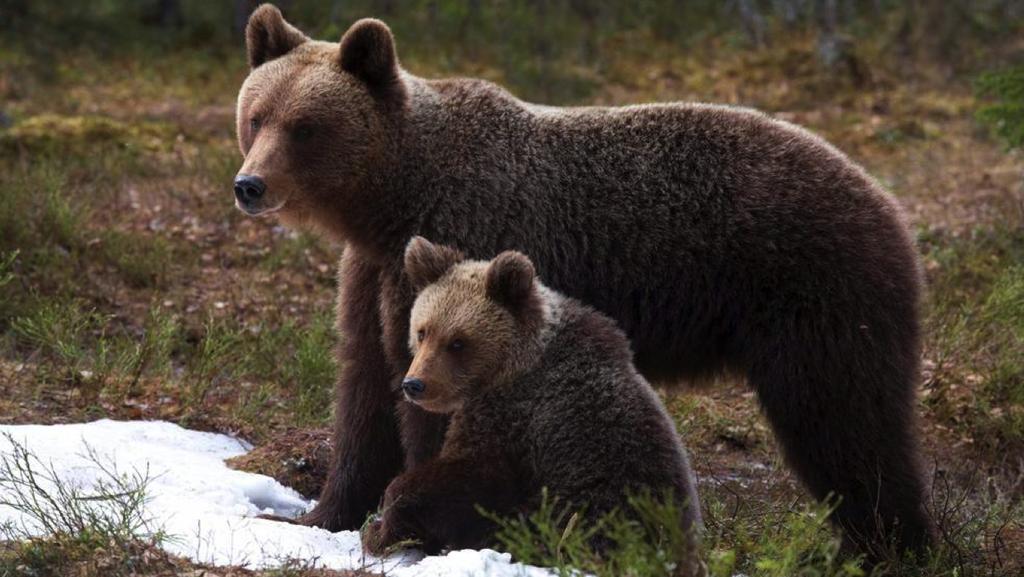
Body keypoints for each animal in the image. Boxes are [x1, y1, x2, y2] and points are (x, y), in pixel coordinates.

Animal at [234, 2, 937, 557]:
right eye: (257, 115)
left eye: (305, 126)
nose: (249, 185)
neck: (392, 200)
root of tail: (886, 201)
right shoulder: (377, 274)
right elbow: (366, 385)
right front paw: (315, 513)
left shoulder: (469, 235)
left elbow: (441, 417)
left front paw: (414, 521)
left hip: (816, 298)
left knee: (845, 422)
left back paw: (891, 546)